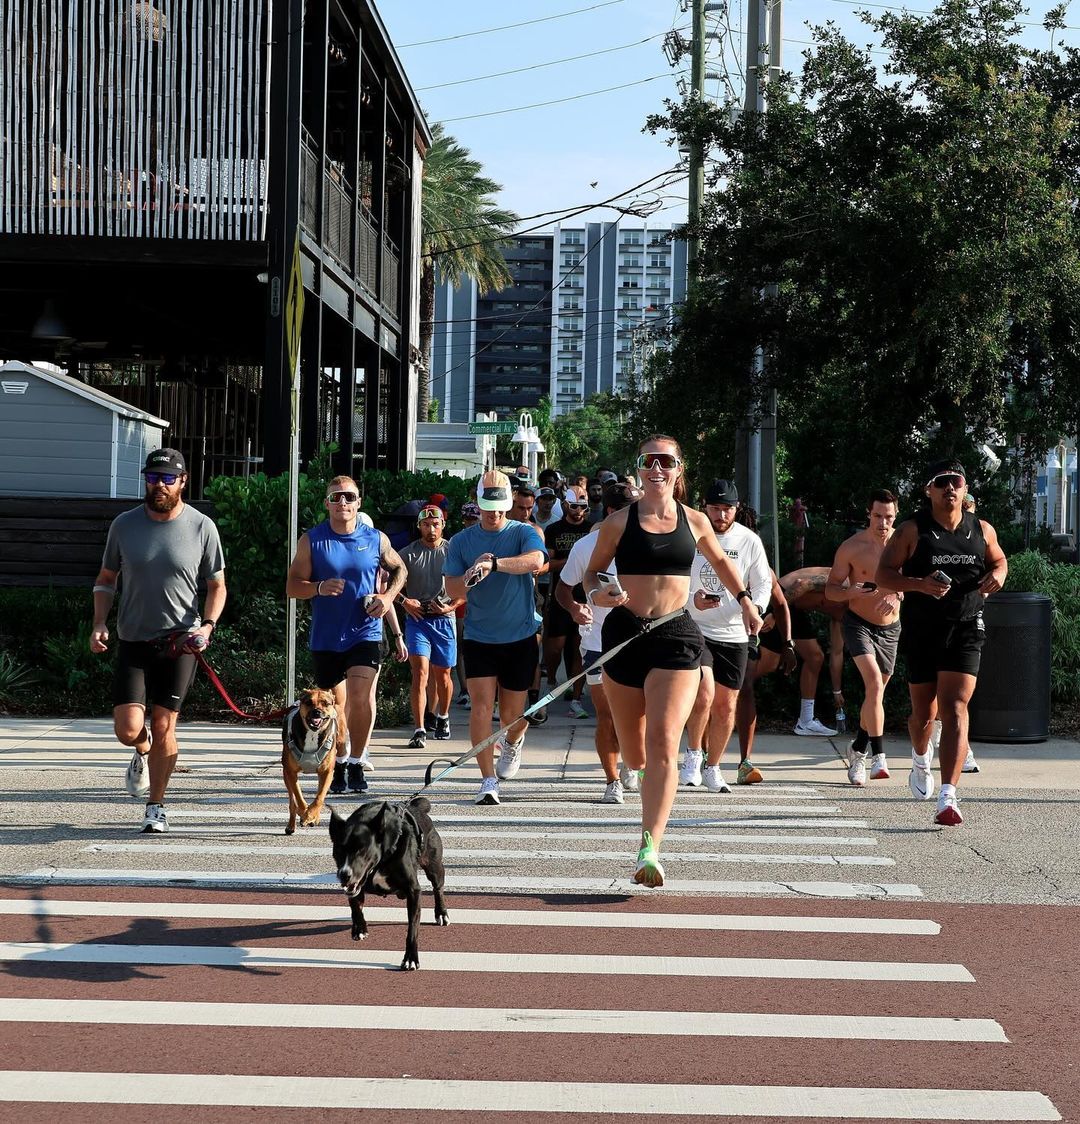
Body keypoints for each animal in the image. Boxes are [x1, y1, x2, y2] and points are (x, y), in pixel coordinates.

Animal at [279, 683, 343, 836]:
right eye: (308, 702)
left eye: (326, 703)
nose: (317, 712)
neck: (313, 734)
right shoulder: (290, 772)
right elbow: (298, 797)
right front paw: (304, 814)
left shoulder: (327, 772)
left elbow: (320, 797)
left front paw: (311, 815)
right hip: (285, 774)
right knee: (292, 801)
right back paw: (292, 825)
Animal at [325, 795, 449, 971]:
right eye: (339, 850)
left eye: (362, 850)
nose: (344, 874)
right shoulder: (356, 885)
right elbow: (355, 905)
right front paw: (359, 928)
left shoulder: (413, 890)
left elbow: (412, 927)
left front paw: (410, 958)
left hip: (433, 864)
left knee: (438, 887)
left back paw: (441, 913)